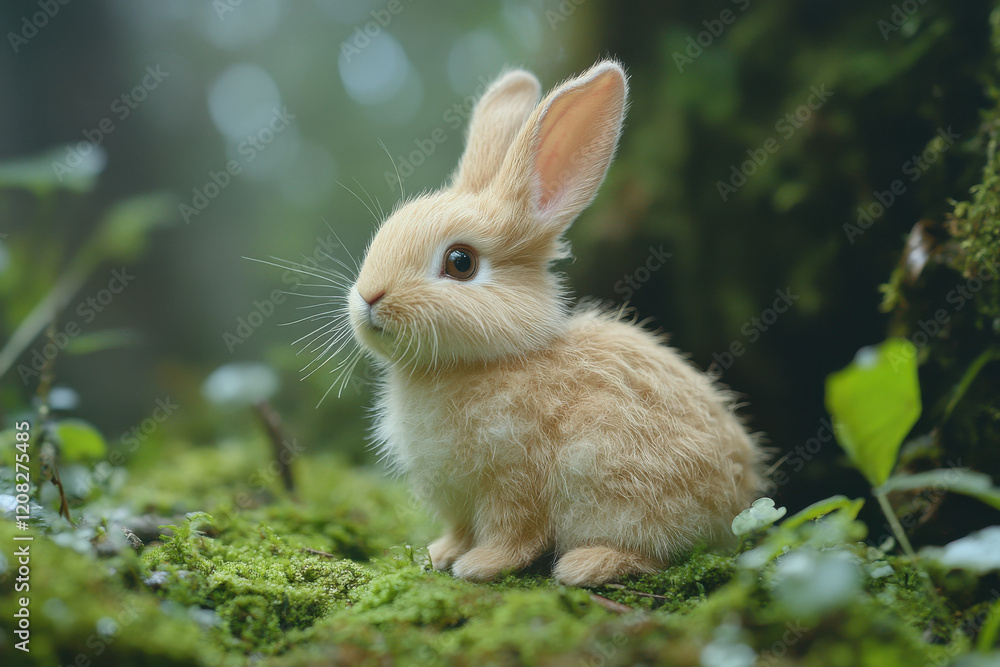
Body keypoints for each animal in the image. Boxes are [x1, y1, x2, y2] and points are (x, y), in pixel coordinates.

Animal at [347, 60, 764, 587]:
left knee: (657, 551)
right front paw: (442, 554)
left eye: (460, 263)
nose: (369, 297)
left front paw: (479, 566)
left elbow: (512, 531)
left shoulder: (513, 478)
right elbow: (460, 529)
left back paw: (585, 565)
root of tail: (737, 501)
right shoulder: (460, 499)